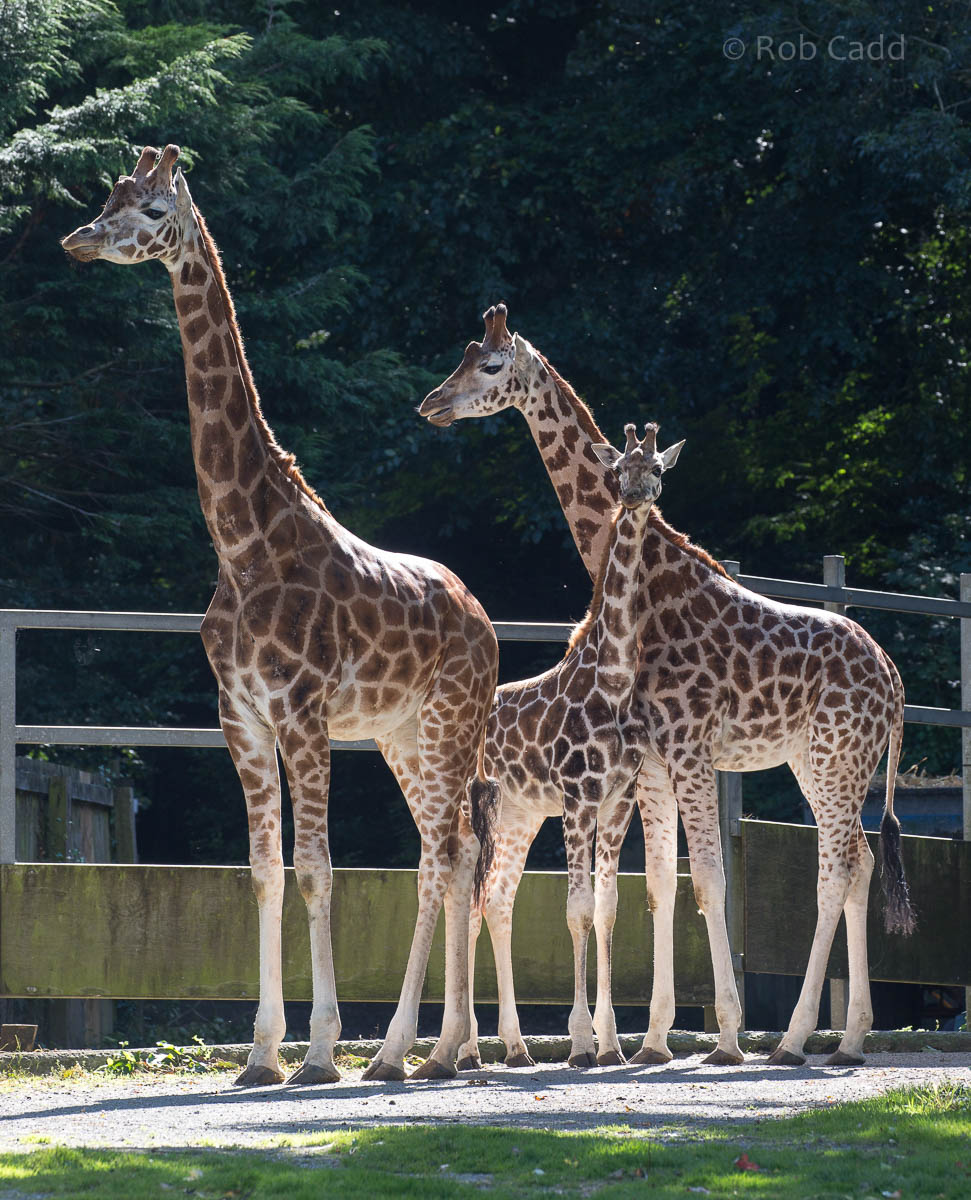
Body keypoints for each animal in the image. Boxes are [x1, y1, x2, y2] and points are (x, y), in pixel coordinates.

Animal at [61, 145, 500, 1086]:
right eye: (109, 194)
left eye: (153, 209)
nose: (79, 240)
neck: (241, 543)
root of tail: (483, 620)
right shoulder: (241, 717)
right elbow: (263, 871)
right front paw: (263, 1052)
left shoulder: (301, 714)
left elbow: (316, 870)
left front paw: (321, 1052)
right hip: (403, 737)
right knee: (451, 854)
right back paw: (438, 1050)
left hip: (449, 724)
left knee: (447, 857)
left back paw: (409, 1052)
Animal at [473, 422, 683, 1069]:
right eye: (618, 469)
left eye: (657, 469)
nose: (636, 495)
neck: (611, 680)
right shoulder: (576, 799)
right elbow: (577, 910)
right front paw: (582, 1043)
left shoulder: (615, 801)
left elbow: (608, 908)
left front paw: (613, 1044)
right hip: (478, 807)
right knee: (459, 894)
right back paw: (461, 1049)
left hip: (517, 813)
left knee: (495, 901)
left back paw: (511, 1048)